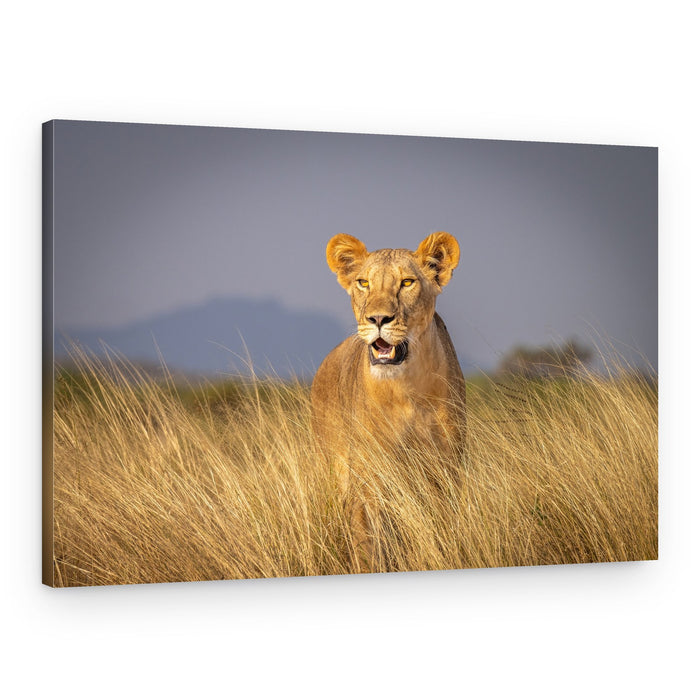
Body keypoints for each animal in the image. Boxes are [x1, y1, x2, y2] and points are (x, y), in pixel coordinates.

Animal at [310, 231, 466, 572]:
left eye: (407, 282)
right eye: (363, 283)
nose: (378, 318)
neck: (406, 390)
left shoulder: (446, 467)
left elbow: (444, 529)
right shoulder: (369, 476)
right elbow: (369, 543)